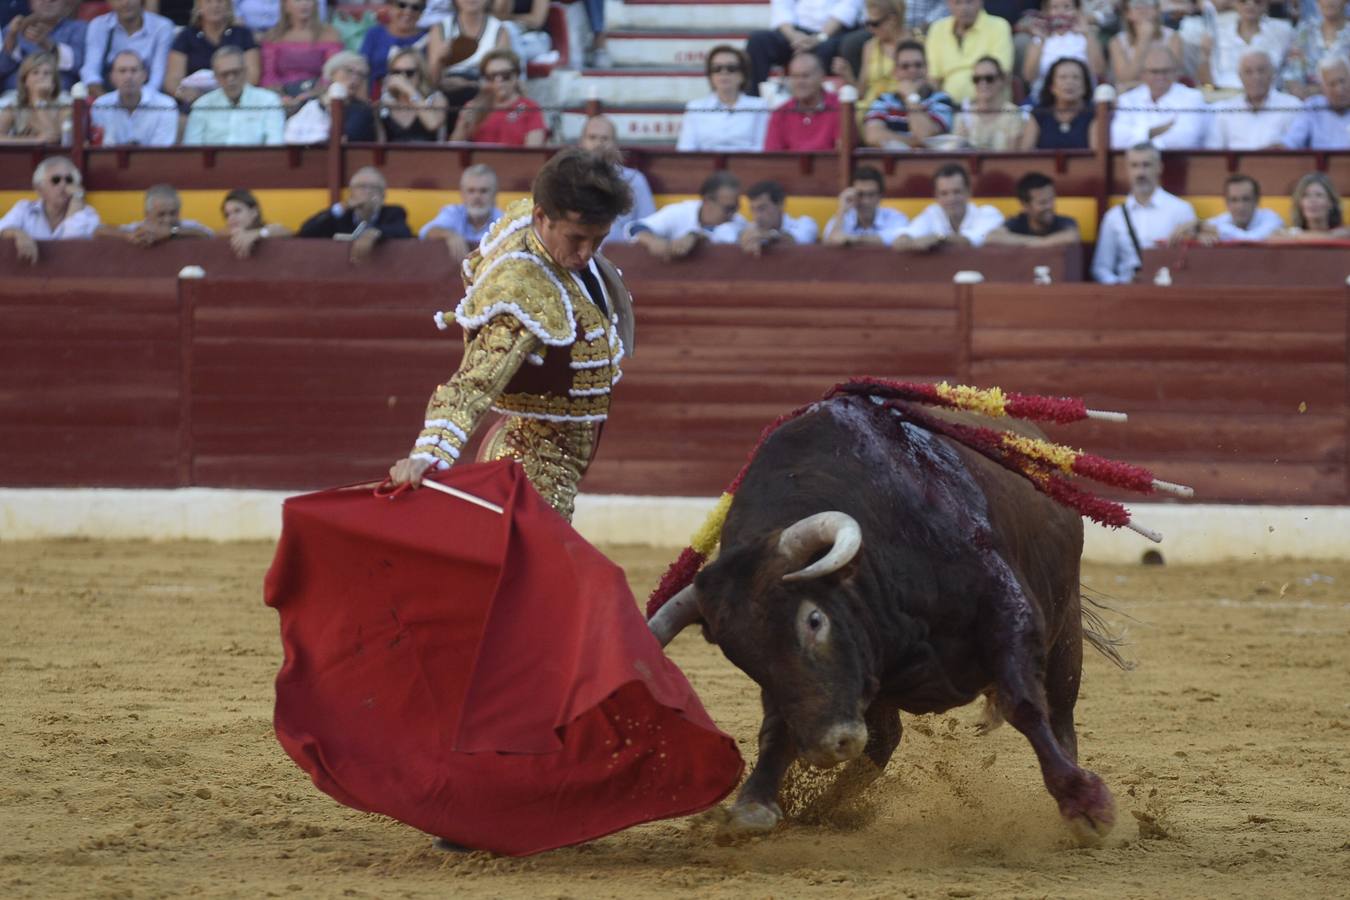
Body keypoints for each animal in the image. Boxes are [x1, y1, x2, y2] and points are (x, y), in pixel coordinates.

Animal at [650, 396, 1117, 841]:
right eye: (742, 657)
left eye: (814, 620)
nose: (828, 745)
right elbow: (778, 727)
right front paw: (754, 804)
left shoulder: (1009, 614)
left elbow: (1025, 704)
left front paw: (1085, 803)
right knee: (882, 741)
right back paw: (824, 810)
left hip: (1065, 631)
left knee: (1059, 713)